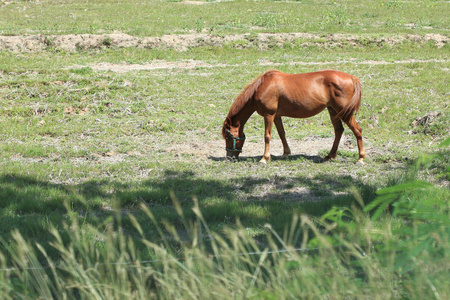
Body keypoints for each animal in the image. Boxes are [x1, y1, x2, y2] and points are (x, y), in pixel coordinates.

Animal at [221, 69, 366, 164]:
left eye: (228, 136)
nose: (229, 157)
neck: (263, 86)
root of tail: (351, 77)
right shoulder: (276, 116)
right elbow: (281, 134)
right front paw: (286, 153)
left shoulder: (269, 115)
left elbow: (267, 136)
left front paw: (264, 158)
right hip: (333, 111)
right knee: (339, 130)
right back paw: (330, 156)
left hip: (344, 112)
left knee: (357, 130)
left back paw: (360, 158)